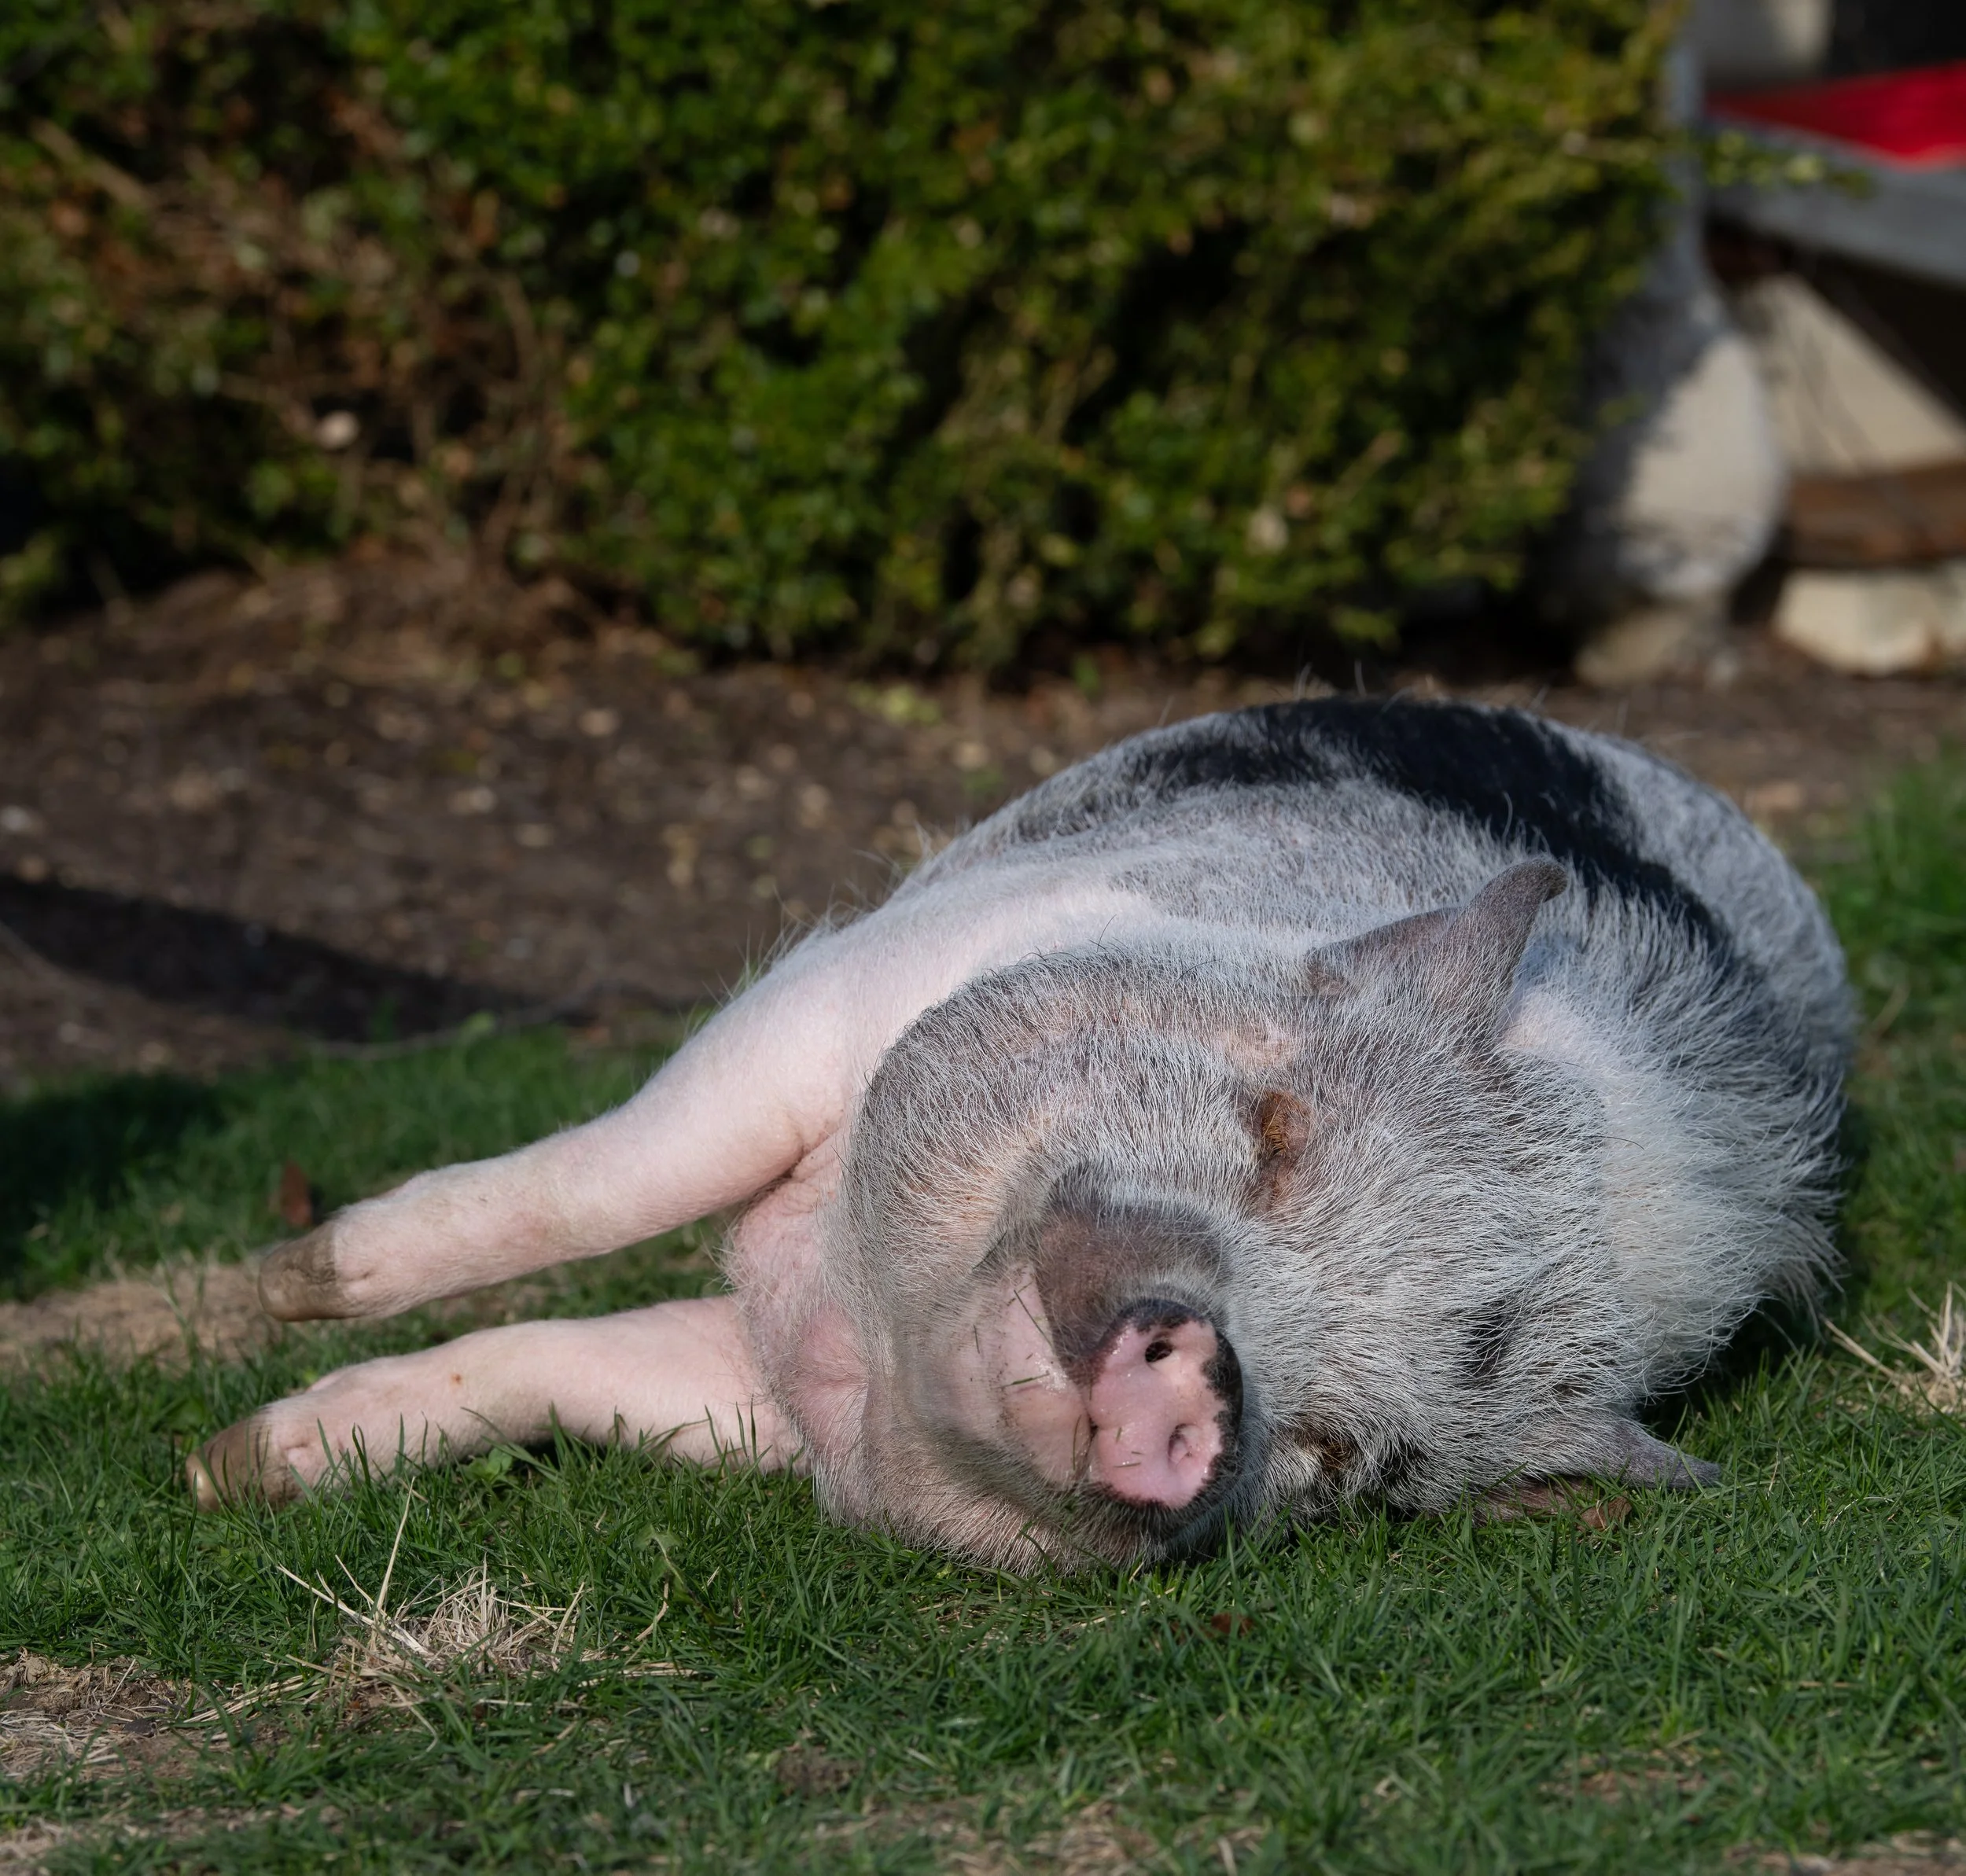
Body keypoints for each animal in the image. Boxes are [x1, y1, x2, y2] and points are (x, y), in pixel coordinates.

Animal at [189, 699, 1850, 1567]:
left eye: (1343, 1457)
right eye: (1276, 1127)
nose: (1195, 1383)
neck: (860, 1311)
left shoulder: (773, 1400)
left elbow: (569, 1369)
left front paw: (229, 1466)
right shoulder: (832, 999)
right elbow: (598, 1185)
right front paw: (268, 1304)